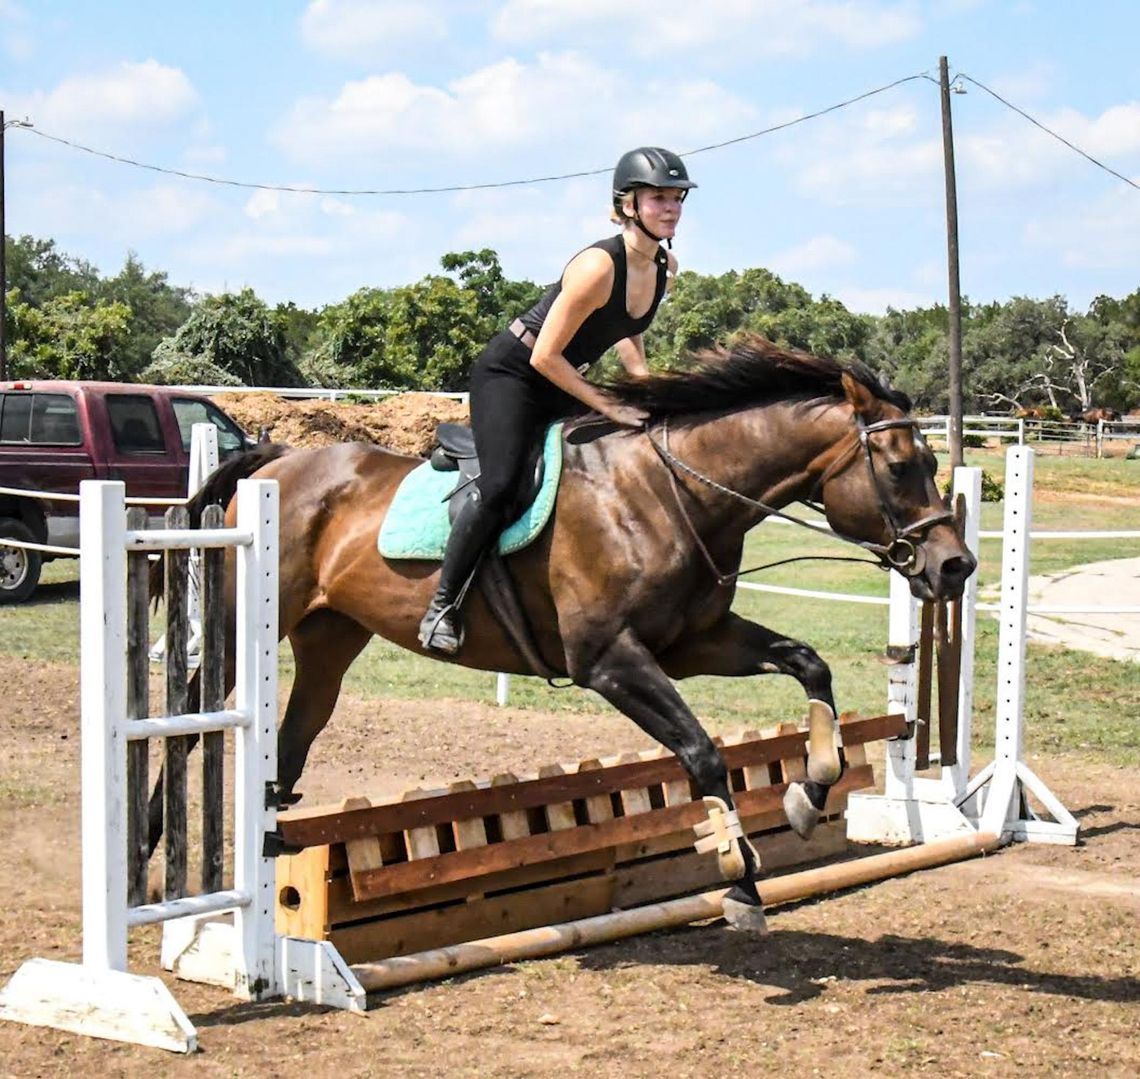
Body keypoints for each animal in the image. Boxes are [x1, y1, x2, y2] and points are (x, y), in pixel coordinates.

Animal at [151, 335, 976, 932]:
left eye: (932, 461)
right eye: (898, 466)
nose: (956, 565)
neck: (674, 493)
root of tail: (281, 458)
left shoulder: (695, 644)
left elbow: (809, 665)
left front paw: (810, 790)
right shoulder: (609, 662)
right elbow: (702, 752)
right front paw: (739, 879)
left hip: (331, 636)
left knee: (294, 737)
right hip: (246, 620)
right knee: (193, 711)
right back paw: (157, 846)